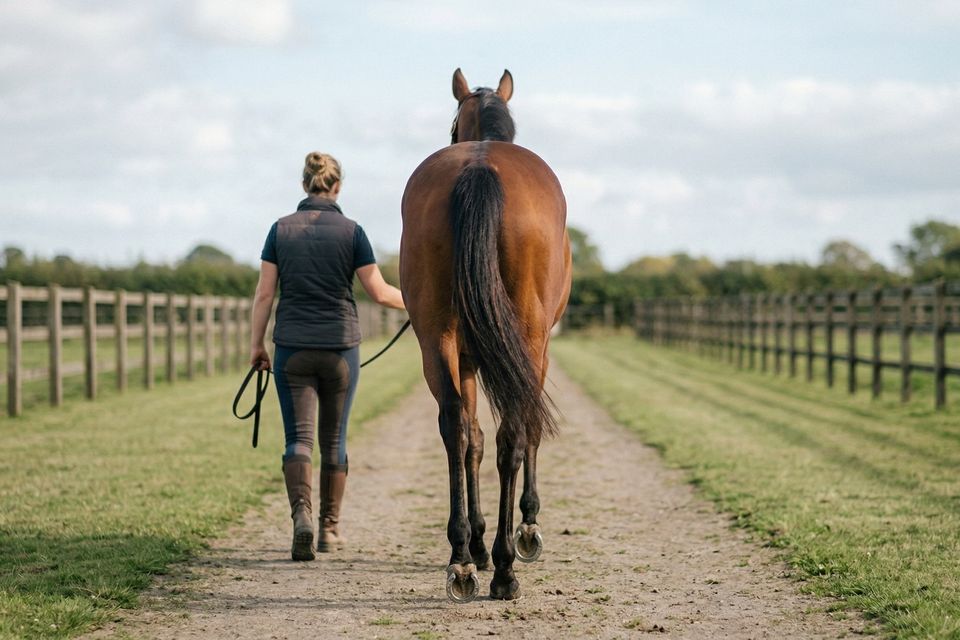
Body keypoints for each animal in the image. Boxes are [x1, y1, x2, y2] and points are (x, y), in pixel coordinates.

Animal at [399, 68, 572, 602]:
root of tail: (480, 168)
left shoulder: (468, 355)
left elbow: (471, 439)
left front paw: (473, 543)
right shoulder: (540, 351)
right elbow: (525, 431)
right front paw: (526, 528)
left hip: (436, 338)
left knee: (456, 427)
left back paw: (462, 561)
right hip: (528, 337)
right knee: (513, 432)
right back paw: (504, 567)